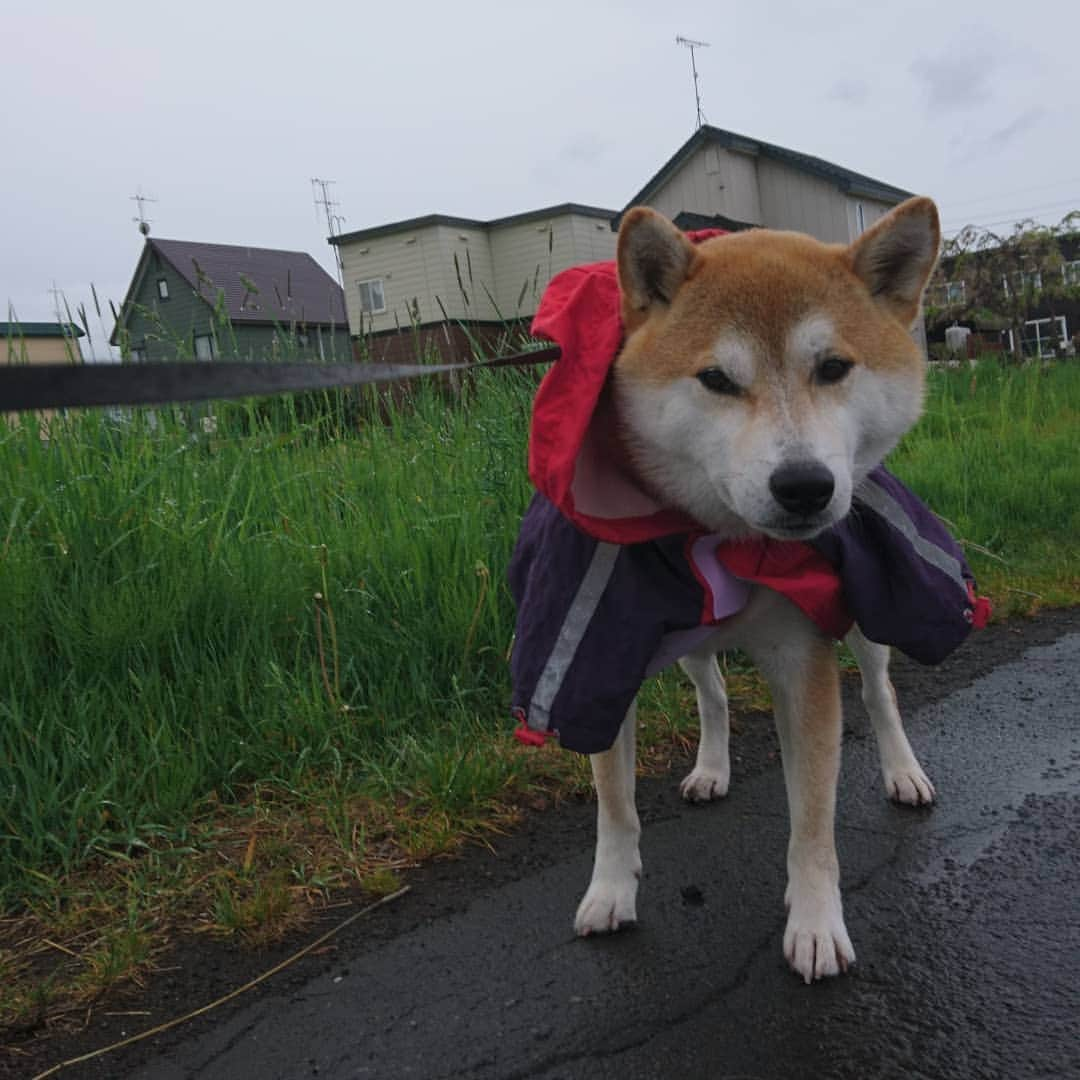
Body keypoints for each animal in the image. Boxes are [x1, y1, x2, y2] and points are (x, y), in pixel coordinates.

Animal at [574, 198, 946, 984]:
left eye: (833, 367)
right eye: (716, 379)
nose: (805, 486)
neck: (719, 535)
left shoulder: (802, 661)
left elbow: (812, 823)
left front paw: (815, 924)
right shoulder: (600, 658)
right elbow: (614, 805)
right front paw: (610, 891)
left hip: (868, 623)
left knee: (880, 693)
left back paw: (904, 772)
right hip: (689, 643)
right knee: (712, 694)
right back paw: (711, 767)